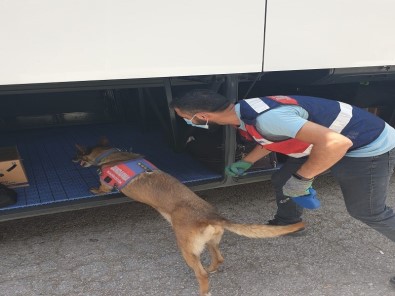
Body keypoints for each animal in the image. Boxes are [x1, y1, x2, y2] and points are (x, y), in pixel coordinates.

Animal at [72, 139, 304, 296]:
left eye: (80, 155)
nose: (73, 160)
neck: (112, 154)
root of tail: (212, 216)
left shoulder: (105, 184)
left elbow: (101, 188)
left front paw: (94, 189)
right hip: (210, 242)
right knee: (218, 258)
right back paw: (212, 269)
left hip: (186, 249)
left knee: (200, 274)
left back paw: (204, 288)